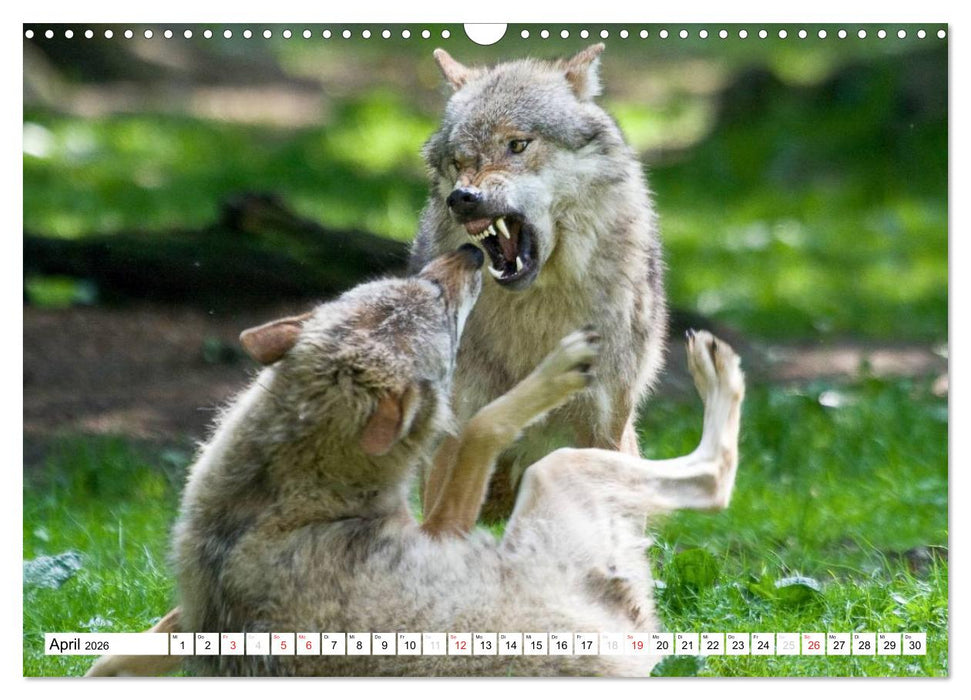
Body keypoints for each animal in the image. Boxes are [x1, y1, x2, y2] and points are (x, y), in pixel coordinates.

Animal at [86, 246, 744, 677]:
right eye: (443, 309)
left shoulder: (194, 608)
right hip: (559, 474)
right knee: (713, 478)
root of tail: (624, 646)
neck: (289, 479)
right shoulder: (444, 525)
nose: (469, 252)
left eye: (424, 283)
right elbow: (482, 424)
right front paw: (552, 373)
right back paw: (717, 370)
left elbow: (137, 644)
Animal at [411, 44, 668, 522]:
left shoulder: (603, 423)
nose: (463, 198)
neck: (538, 318)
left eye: (517, 145)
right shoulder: (459, 422)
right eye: (458, 161)